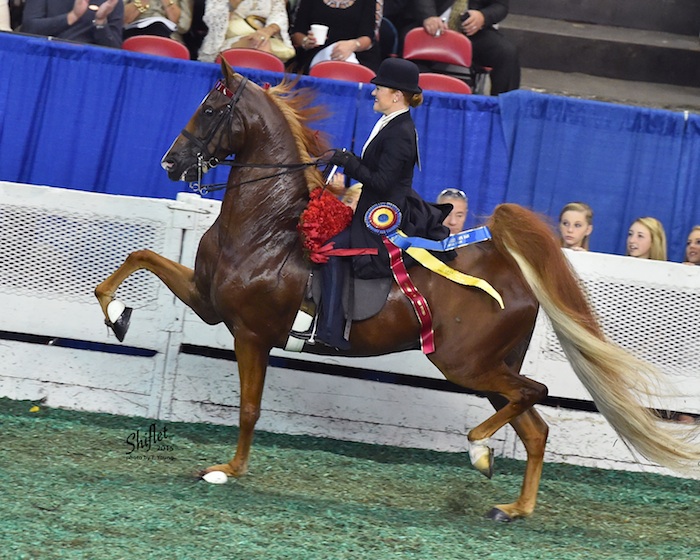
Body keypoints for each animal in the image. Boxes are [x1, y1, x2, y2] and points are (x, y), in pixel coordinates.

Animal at [94, 61, 700, 520]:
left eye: (212, 109)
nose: (170, 163)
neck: (267, 225)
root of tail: (510, 269)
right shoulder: (205, 300)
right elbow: (139, 258)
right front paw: (116, 314)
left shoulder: (250, 332)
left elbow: (248, 408)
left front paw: (227, 471)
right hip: (487, 369)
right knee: (535, 426)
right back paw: (512, 505)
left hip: (467, 364)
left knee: (536, 394)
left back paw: (478, 448)